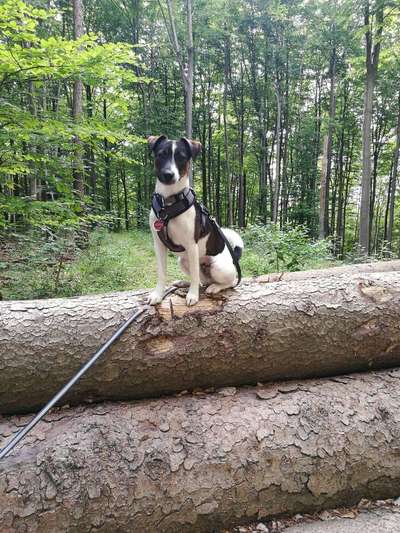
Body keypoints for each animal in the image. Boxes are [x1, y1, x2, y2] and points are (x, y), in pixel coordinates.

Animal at [148, 135, 244, 306]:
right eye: (161, 155)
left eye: (181, 157)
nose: (168, 174)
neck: (168, 203)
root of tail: (233, 257)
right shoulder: (158, 245)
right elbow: (161, 273)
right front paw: (158, 294)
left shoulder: (191, 245)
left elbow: (194, 275)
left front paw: (192, 295)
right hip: (183, 261)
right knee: (202, 280)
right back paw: (184, 283)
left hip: (219, 267)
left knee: (229, 282)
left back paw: (215, 287)